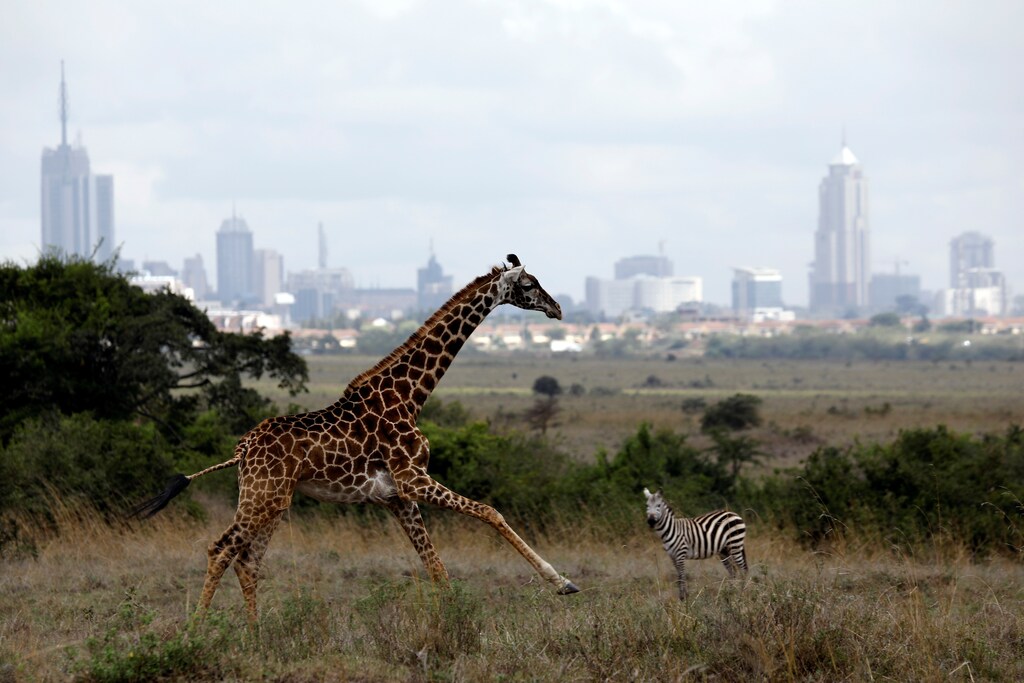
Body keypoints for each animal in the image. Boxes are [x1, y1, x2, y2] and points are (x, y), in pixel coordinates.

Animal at [134, 254, 579, 621]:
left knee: (248, 560)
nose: (557, 308)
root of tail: (241, 450)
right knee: (222, 549)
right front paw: (561, 583)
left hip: (270, 500)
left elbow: (437, 568)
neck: (409, 397)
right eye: (529, 284)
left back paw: (255, 638)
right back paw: (197, 631)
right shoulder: (413, 480)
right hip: (262, 496)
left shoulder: (397, 496)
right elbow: (490, 511)